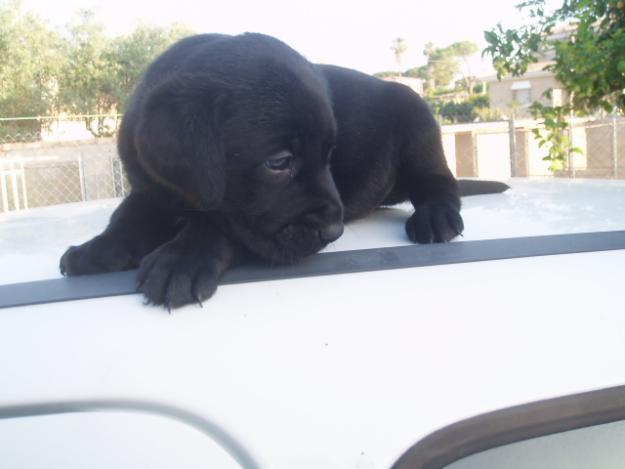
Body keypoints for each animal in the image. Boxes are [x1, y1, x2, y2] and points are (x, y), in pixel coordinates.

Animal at [61, 33, 504, 310]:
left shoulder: (244, 223)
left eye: (330, 154)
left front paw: (183, 258)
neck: (182, 198)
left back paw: (436, 216)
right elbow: (127, 215)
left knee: (438, 182)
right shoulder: (150, 187)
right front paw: (98, 248)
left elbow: (221, 226)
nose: (334, 232)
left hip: (418, 124)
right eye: (279, 162)